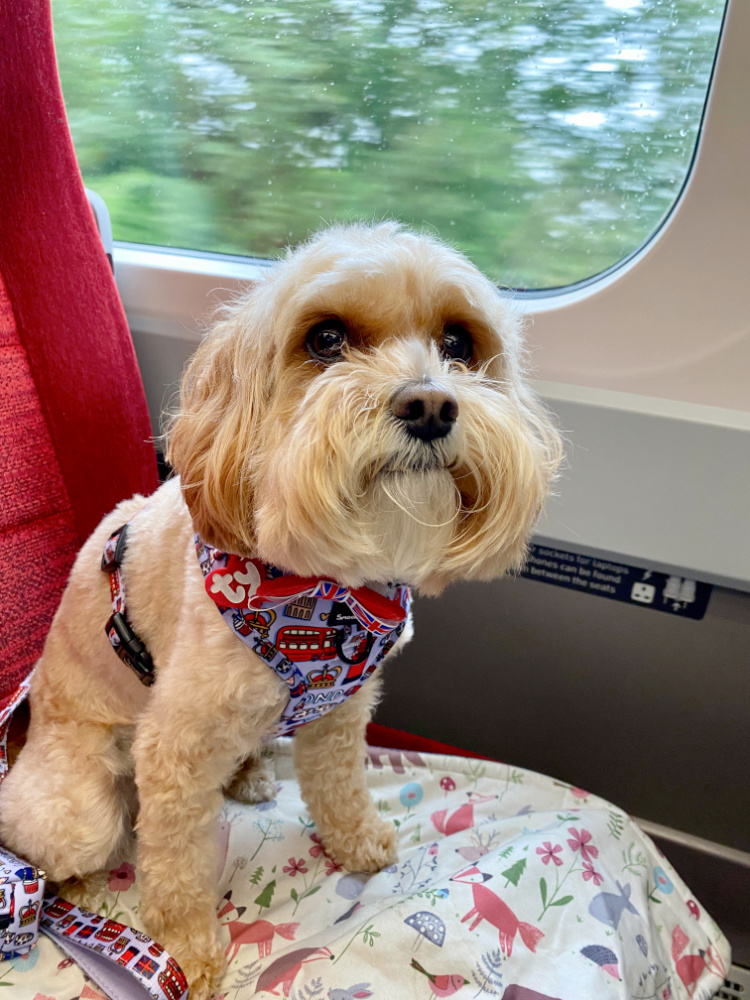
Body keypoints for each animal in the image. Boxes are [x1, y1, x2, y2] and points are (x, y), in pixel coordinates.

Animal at [0, 223, 564, 996]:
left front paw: (357, 841)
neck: (320, 590)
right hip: (80, 799)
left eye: (457, 341)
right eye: (325, 340)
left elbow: (340, 786)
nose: (431, 405)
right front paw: (189, 951)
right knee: (54, 847)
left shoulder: (339, 711)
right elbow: (175, 867)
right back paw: (79, 888)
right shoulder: (174, 749)